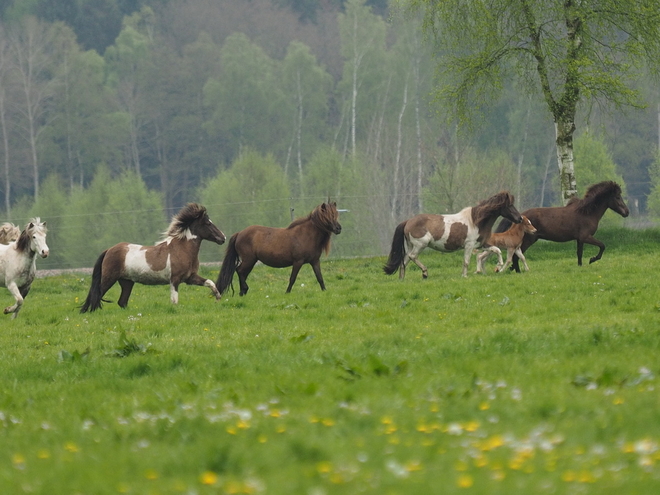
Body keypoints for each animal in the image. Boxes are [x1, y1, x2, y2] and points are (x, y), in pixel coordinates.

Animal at [78, 202, 224, 314]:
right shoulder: (175, 280)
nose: (223, 238)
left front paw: (218, 297)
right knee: (96, 295)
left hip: (127, 282)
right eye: (208, 223)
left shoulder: (190, 278)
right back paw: (88, 312)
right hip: (109, 278)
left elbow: (210, 282)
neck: (182, 249)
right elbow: (174, 300)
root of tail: (109, 250)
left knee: (122, 302)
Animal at [384, 191, 524, 280]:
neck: (475, 221)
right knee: (412, 257)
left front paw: (498, 267)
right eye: (509, 205)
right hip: (420, 245)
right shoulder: (469, 245)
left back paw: (402, 279)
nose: (520, 218)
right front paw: (465, 276)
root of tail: (407, 221)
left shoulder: (482, 244)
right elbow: (466, 261)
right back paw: (425, 273)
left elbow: (497, 250)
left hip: (410, 246)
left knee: (404, 261)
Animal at [498, 181, 632, 274]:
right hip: (528, 240)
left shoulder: (580, 239)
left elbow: (579, 253)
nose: (626, 212)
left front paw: (580, 266)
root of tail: (520, 217)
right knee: (516, 256)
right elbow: (602, 246)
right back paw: (517, 271)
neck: (586, 212)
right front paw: (592, 259)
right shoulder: (586, 237)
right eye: (617, 197)